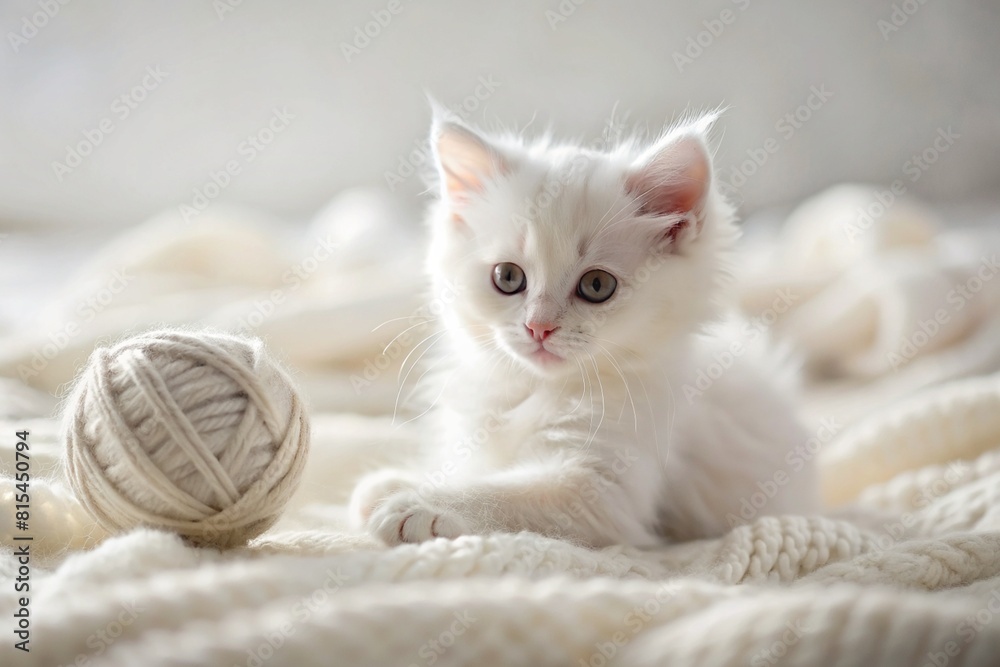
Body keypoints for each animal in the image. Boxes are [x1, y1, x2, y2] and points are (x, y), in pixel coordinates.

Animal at [352, 111, 820, 548]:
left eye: (597, 286)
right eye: (508, 278)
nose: (538, 326)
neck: (535, 390)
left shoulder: (604, 489)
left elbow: (503, 494)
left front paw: (418, 504)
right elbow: (475, 468)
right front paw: (392, 483)